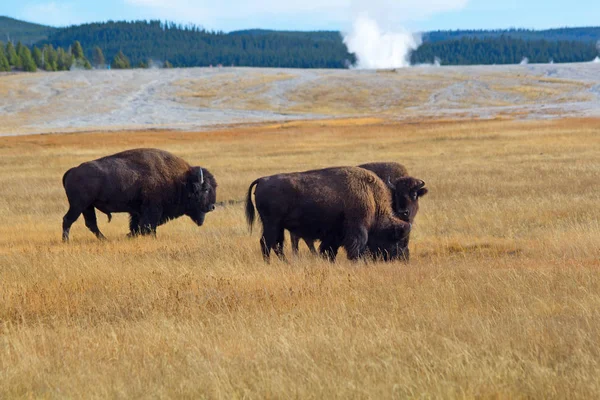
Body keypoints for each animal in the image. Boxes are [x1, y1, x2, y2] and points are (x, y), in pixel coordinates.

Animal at [60, 147, 216, 241]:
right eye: (206, 189)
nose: (212, 206)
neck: (181, 180)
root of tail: (73, 170)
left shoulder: (138, 212)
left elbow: (137, 226)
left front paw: (130, 235)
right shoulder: (152, 210)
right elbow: (148, 226)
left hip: (87, 206)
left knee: (91, 223)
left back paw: (104, 239)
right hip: (78, 205)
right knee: (68, 220)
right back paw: (66, 241)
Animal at [245, 166, 412, 262]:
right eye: (399, 240)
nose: (404, 258)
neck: (371, 196)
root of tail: (263, 180)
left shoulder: (335, 233)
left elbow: (329, 249)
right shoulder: (358, 228)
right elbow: (356, 247)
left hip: (277, 226)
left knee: (277, 245)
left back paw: (285, 263)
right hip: (271, 224)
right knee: (266, 243)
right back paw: (269, 263)